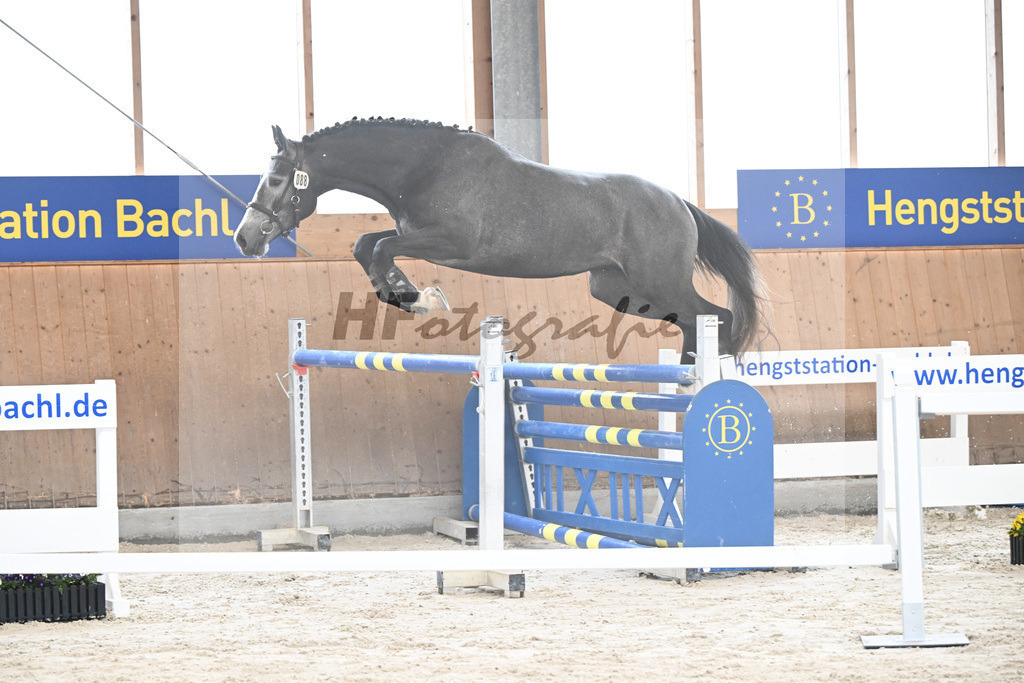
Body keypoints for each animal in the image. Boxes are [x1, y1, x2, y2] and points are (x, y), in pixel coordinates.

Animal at [234, 117, 766, 358]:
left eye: (277, 177)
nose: (245, 238)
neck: (424, 166)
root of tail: (679, 203)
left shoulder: (453, 243)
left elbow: (380, 246)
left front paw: (419, 297)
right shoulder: (418, 233)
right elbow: (367, 244)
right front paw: (407, 296)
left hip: (659, 282)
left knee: (714, 317)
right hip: (619, 290)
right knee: (694, 321)